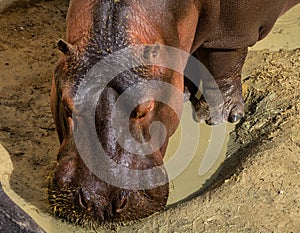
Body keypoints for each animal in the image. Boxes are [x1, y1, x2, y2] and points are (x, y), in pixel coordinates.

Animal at [48, 0, 298, 226]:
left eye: (145, 109)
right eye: (69, 105)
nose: (100, 202)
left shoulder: (230, 32)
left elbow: (223, 62)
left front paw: (220, 117)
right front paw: (186, 91)